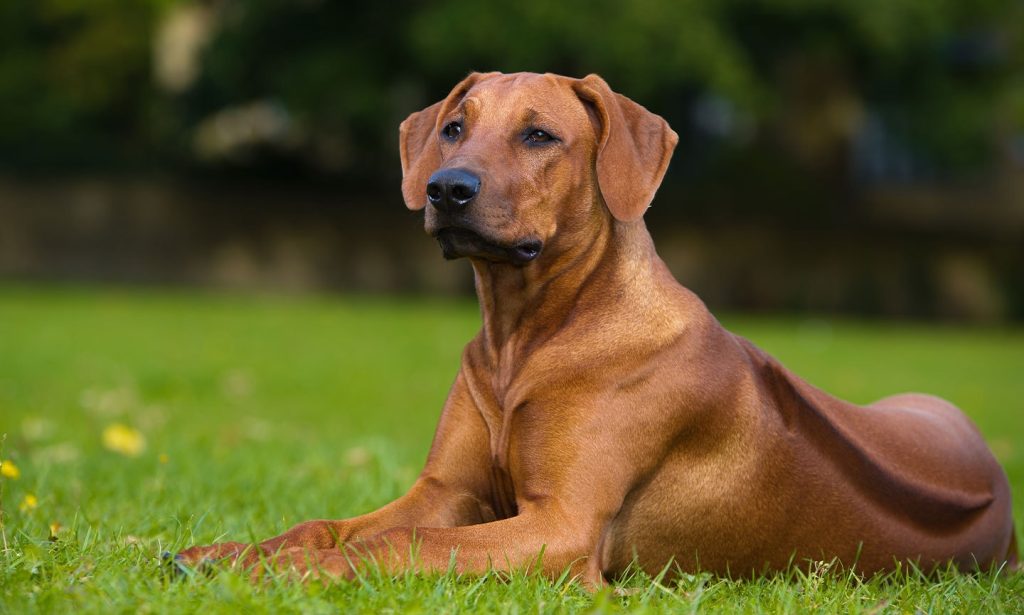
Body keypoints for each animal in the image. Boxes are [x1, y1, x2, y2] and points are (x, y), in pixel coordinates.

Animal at [178, 72, 1015, 585]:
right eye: (453, 128)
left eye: (540, 136)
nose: (447, 188)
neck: (525, 336)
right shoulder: (446, 489)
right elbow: (329, 522)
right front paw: (233, 549)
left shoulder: (563, 526)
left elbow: (403, 540)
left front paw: (279, 571)